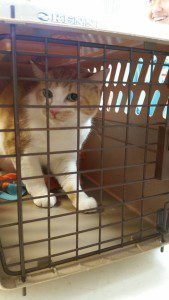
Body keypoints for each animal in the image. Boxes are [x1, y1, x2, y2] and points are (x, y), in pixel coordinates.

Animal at [0, 65, 105, 211]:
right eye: (47, 93)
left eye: (73, 96)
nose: (53, 110)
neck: (57, 132)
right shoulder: (21, 149)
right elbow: (33, 176)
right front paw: (43, 196)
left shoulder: (65, 157)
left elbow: (70, 179)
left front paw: (82, 200)